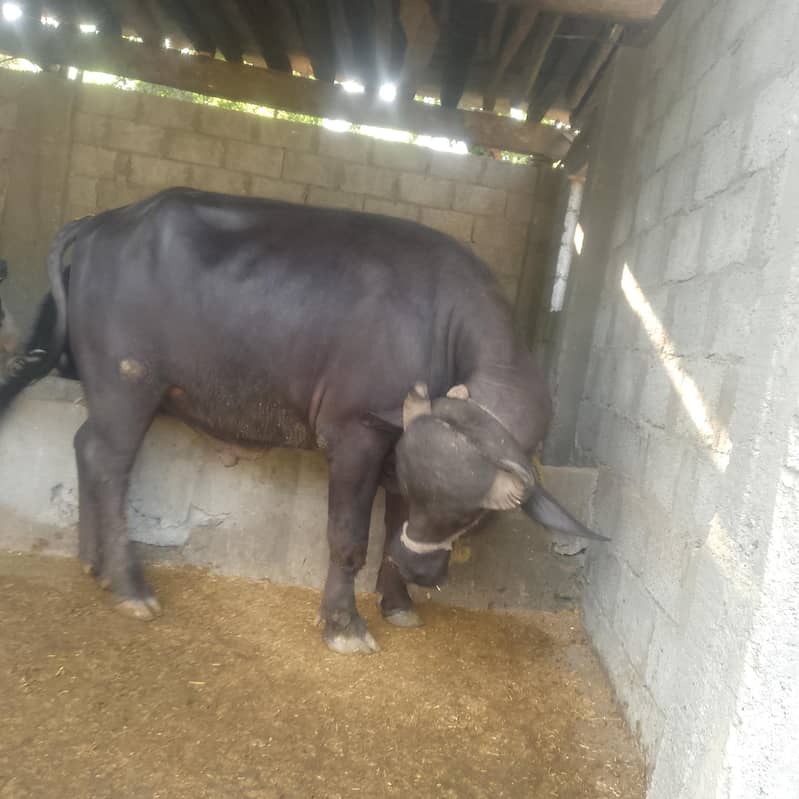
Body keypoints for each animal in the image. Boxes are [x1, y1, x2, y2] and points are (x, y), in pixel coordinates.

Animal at [0, 187, 606, 654]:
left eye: (474, 516)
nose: (422, 572)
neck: (439, 325)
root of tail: (104, 220)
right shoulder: (356, 434)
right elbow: (348, 537)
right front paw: (343, 624)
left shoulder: (400, 443)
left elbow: (392, 520)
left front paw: (397, 601)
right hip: (127, 382)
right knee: (109, 463)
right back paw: (129, 586)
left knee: (85, 447)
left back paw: (93, 562)